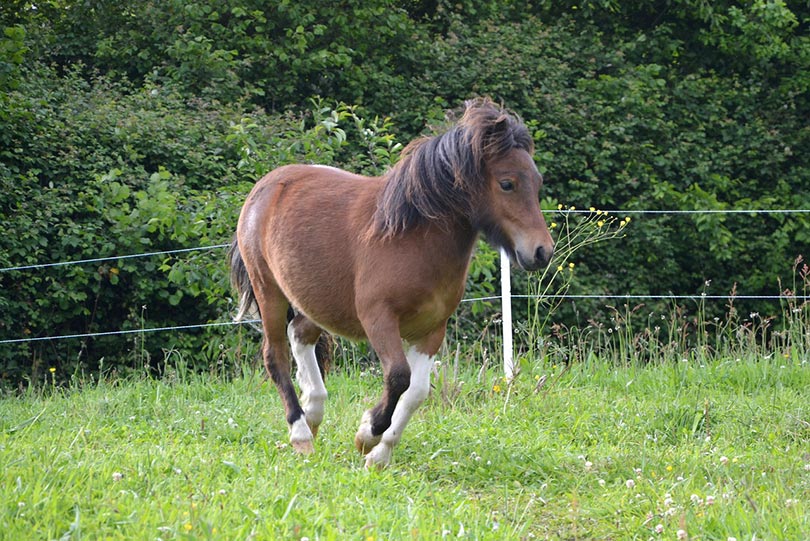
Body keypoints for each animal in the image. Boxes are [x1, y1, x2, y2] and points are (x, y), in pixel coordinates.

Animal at [229, 98, 554, 468]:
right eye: (507, 183)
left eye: (537, 183)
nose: (542, 251)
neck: (412, 236)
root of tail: (264, 187)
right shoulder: (379, 319)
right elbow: (399, 376)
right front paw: (368, 433)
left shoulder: (431, 330)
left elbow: (416, 393)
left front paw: (380, 455)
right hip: (269, 291)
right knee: (276, 356)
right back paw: (301, 434)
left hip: (315, 299)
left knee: (300, 335)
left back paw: (313, 411)